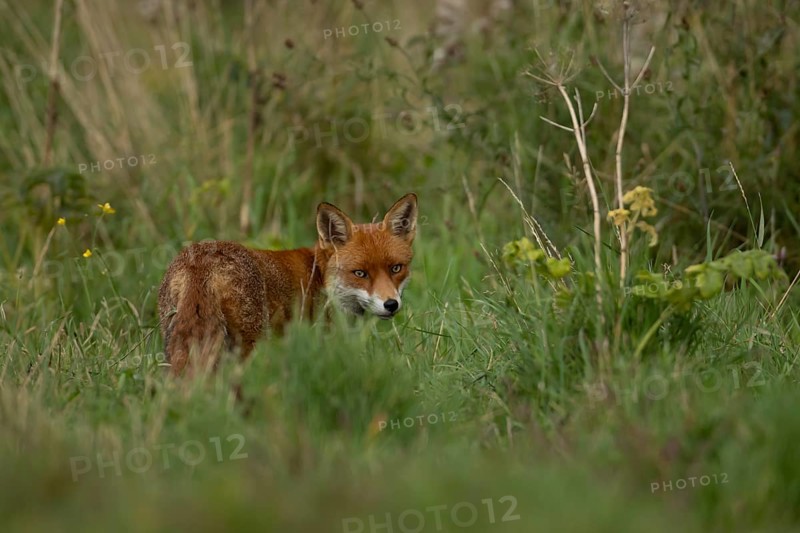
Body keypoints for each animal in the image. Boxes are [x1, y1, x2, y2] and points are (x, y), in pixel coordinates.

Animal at [157, 193, 418, 375]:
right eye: (360, 273)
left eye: (396, 268)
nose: (391, 304)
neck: (320, 276)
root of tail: (200, 260)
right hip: (247, 345)